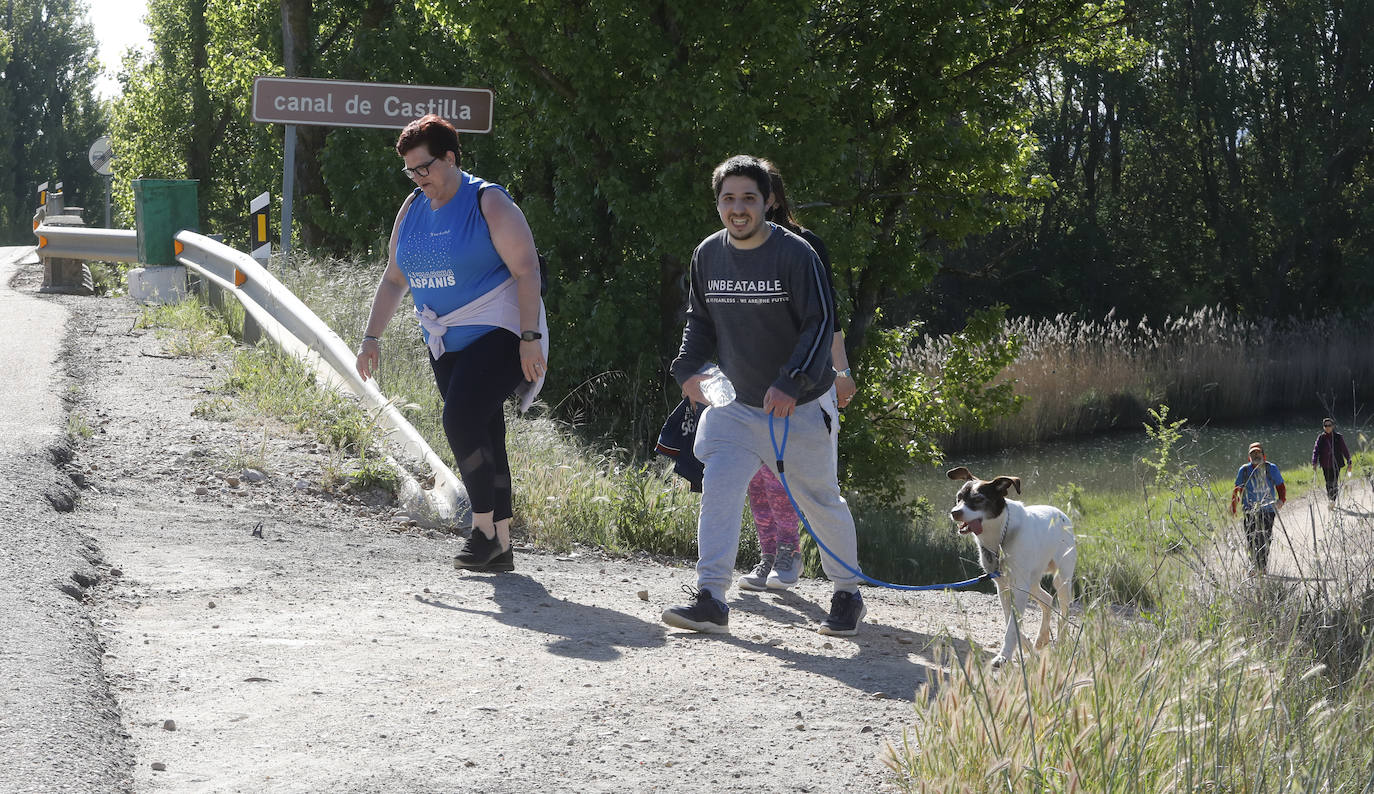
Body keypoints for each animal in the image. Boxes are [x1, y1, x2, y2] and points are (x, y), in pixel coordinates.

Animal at [950, 464, 1077, 667]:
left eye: (978, 499)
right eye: (959, 497)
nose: (955, 512)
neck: (1001, 536)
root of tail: (1061, 513)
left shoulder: (1018, 587)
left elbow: (1012, 625)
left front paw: (1004, 656)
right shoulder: (1003, 587)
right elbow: (1010, 619)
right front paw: (1025, 646)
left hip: (1061, 579)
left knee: (1064, 610)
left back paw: (1061, 642)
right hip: (1031, 581)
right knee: (1047, 599)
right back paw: (1041, 638)